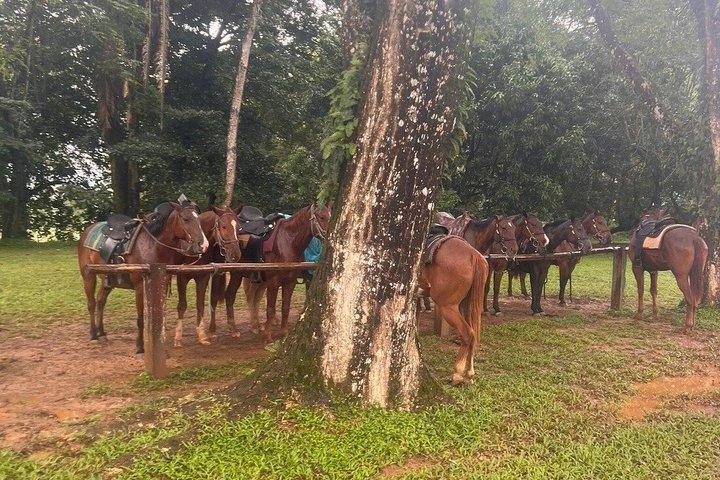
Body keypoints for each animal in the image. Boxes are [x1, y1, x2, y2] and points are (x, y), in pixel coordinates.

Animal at [77, 201, 209, 353]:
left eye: (199, 219)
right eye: (186, 219)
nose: (203, 244)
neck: (153, 246)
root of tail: (87, 230)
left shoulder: (162, 284)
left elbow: (160, 314)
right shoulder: (140, 287)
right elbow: (140, 318)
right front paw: (140, 347)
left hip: (108, 279)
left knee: (100, 301)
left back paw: (102, 333)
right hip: (88, 276)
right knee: (91, 303)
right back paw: (94, 335)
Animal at [173, 206, 243, 347]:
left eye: (238, 227)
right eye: (223, 226)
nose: (236, 254)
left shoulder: (203, 277)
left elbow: (201, 304)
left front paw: (203, 335)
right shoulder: (181, 278)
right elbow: (182, 306)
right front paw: (178, 338)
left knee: (220, 297)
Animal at [213, 203, 332, 342]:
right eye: (322, 217)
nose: (329, 237)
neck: (287, 243)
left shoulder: (290, 282)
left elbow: (285, 307)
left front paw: (284, 333)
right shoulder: (273, 283)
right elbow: (270, 308)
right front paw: (268, 335)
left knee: (252, 297)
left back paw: (255, 326)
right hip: (237, 274)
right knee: (230, 295)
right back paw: (234, 329)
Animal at [420, 236, 489, 385]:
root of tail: (474, 254)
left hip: (448, 307)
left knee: (467, 333)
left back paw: (457, 374)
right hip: (466, 305)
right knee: (473, 332)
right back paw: (469, 373)